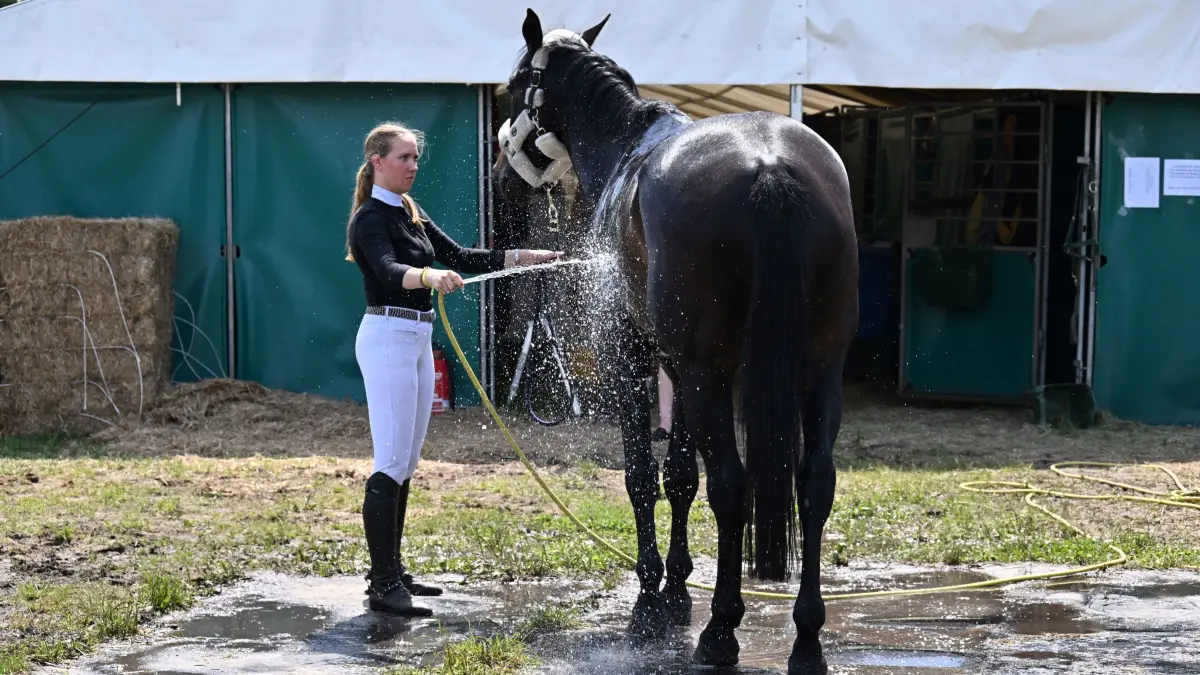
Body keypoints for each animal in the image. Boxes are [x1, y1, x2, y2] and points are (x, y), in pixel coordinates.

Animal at [491, 10, 859, 674]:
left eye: (512, 85)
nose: (502, 175)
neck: (626, 150)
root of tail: (769, 164)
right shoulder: (680, 371)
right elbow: (680, 475)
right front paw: (676, 593)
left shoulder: (634, 361)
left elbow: (643, 475)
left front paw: (649, 602)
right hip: (816, 372)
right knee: (814, 481)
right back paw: (806, 640)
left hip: (712, 377)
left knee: (732, 486)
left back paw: (721, 631)